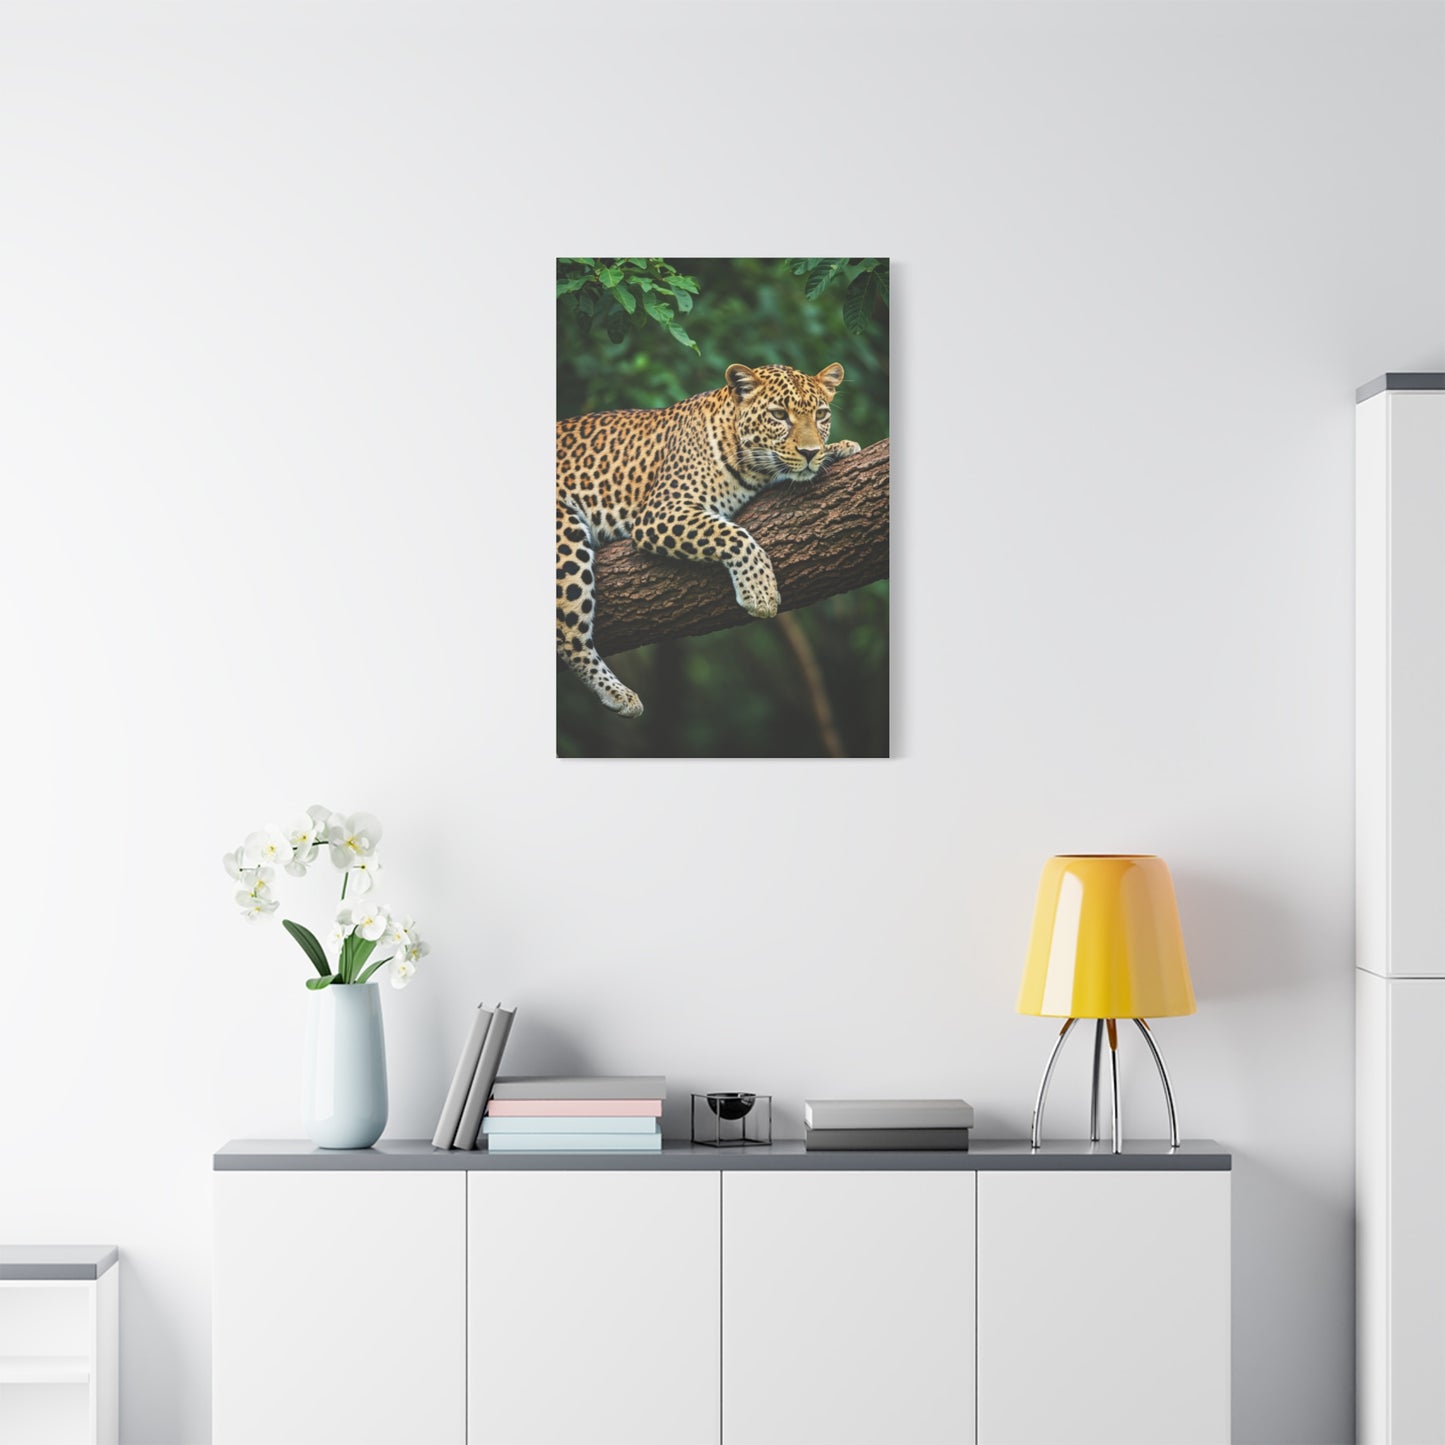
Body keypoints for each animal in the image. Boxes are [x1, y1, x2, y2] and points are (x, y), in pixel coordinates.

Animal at [556, 362, 860, 716]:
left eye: (821, 415)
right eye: (778, 415)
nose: (810, 452)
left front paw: (839, 448)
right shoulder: (661, 511)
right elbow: (734, 535)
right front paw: (760, 592)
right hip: (566, 539)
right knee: (569, 635)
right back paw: (618, 693)